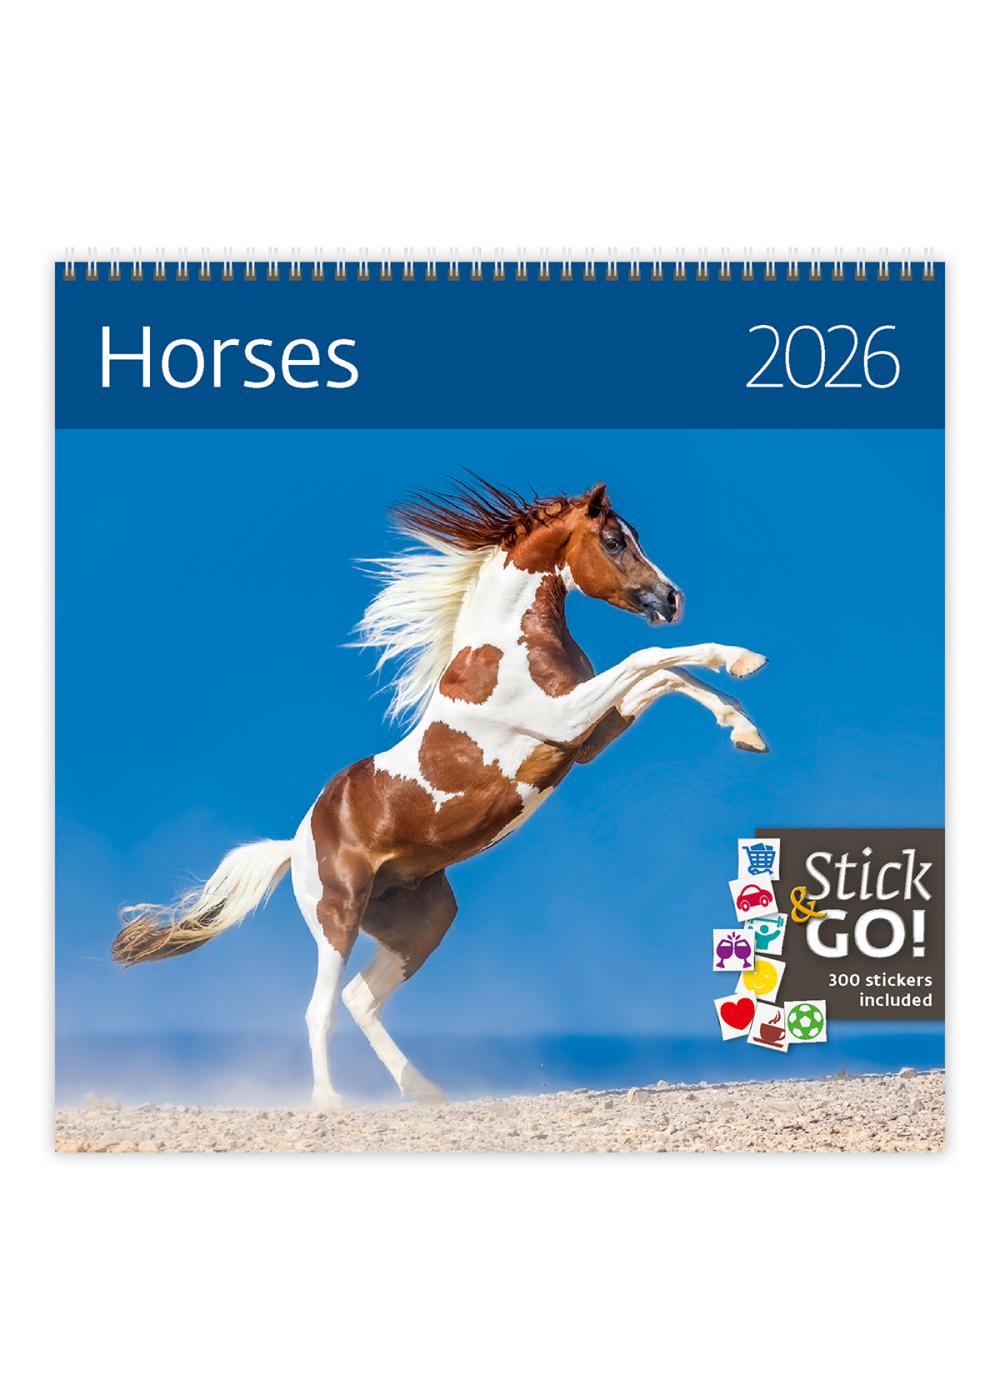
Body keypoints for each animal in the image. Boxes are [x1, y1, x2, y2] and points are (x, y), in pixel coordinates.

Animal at [112, 478, 768, 1107]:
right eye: (613, 541)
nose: (672, 599)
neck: (504, 646)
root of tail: (295, 843)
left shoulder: (586, 735)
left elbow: (666, 677)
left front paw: (745, 728)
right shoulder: (563, 721)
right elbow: (652, 657)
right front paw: (742, 659)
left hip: (422, 922)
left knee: (361, 999)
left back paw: (422, 1089)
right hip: (336, 916)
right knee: (320, 1009)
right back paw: (329, 1100)